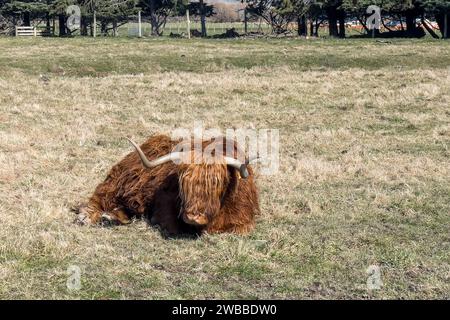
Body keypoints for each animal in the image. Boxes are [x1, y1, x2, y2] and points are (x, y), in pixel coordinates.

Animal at [76, 134, 260, 234]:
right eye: (183, 182)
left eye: (216, 182)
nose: (193, 217)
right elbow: (171, 225)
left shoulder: (244, 219)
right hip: (118, 182)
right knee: (100, 196)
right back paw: (87, 216)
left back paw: (110, 217)